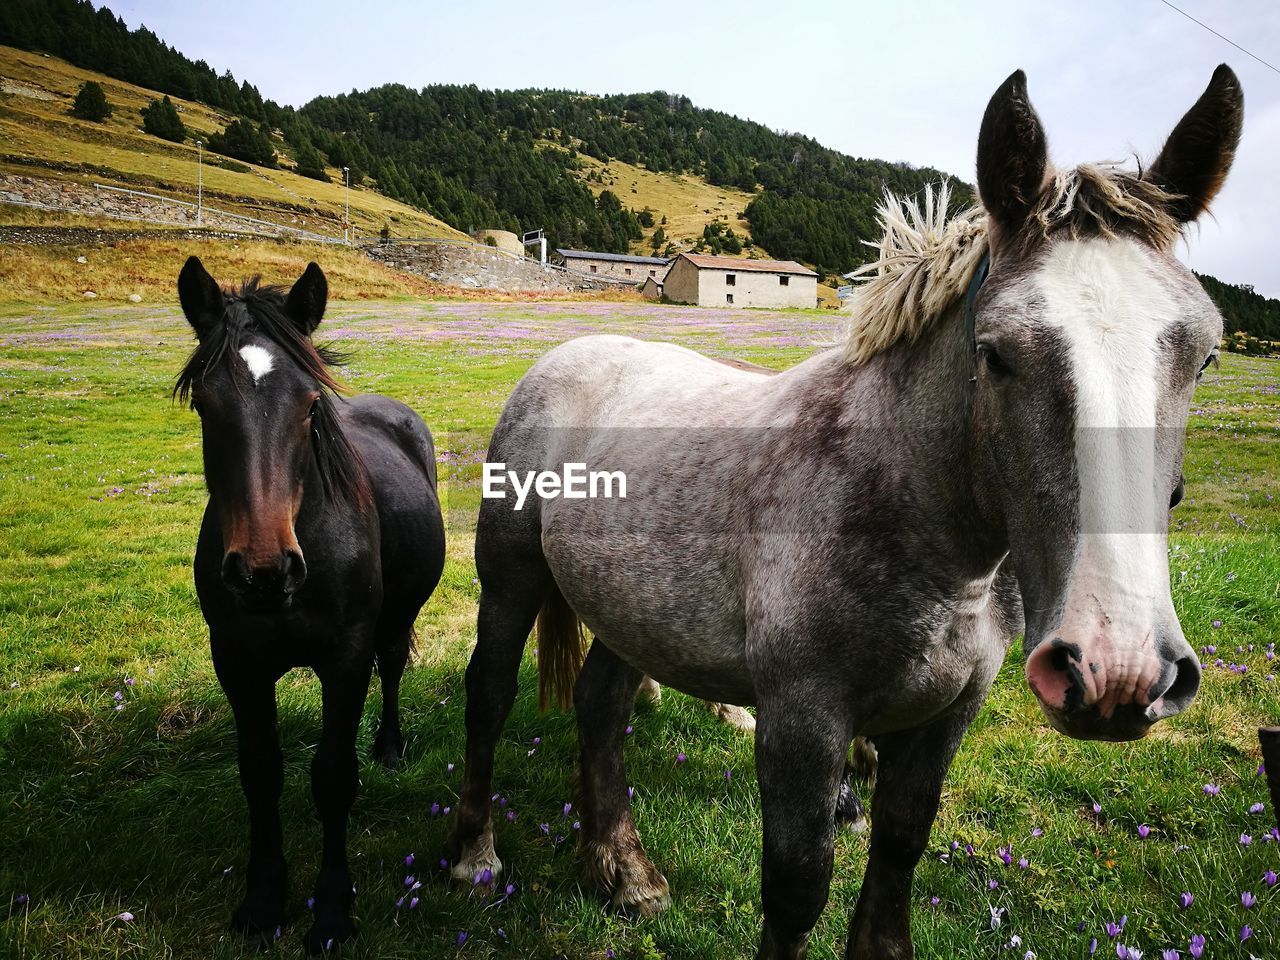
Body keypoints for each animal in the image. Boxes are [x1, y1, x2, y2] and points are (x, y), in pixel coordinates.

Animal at [175, 257, 445, 957]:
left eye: (309, 404)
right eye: (205, 404)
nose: (264, 571)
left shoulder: (345, 656)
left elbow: (332, 776)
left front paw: (330, 911)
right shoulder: (236, 661)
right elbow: (260, 772)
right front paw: (264, 899)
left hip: (394, 620)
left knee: (392, 666)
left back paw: (390, 747)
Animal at [448, 64, 1239, 957]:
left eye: (1205, 354)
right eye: (996, 353)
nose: (1117, 669)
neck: (913, 525)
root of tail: (566, 356)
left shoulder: (945, 718)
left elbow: (898, 846)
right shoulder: (803, 721)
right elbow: (798, 887)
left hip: (631, 609)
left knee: (600, 708)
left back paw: (622, 869)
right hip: (511, 580)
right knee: (489, 694)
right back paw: (475, 856)